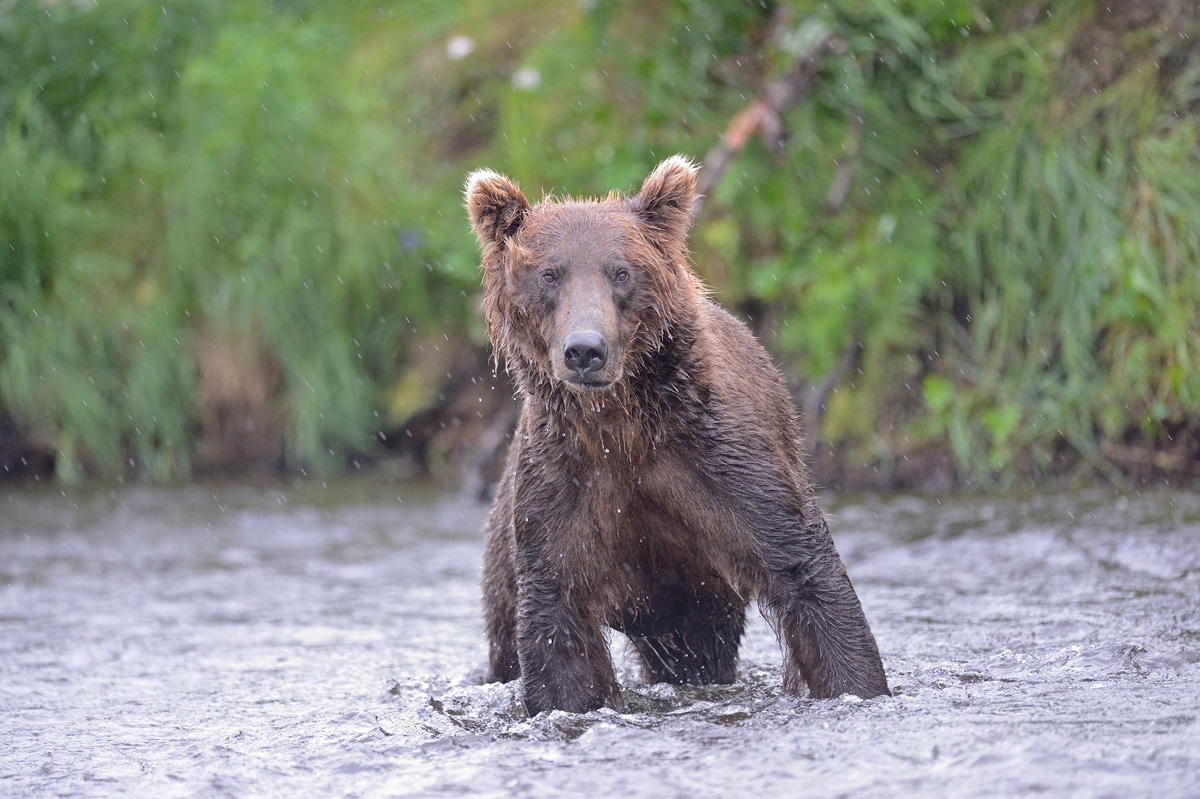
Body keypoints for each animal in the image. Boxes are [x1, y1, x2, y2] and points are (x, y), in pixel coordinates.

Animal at [463, 157, 888, 715]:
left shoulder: (714, 458)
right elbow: (558, 620)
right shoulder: (564, 481)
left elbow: (803, 569)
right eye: (550, 274)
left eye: (621, 271)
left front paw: (857, 683)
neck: (620, 425)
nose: (585, 350)